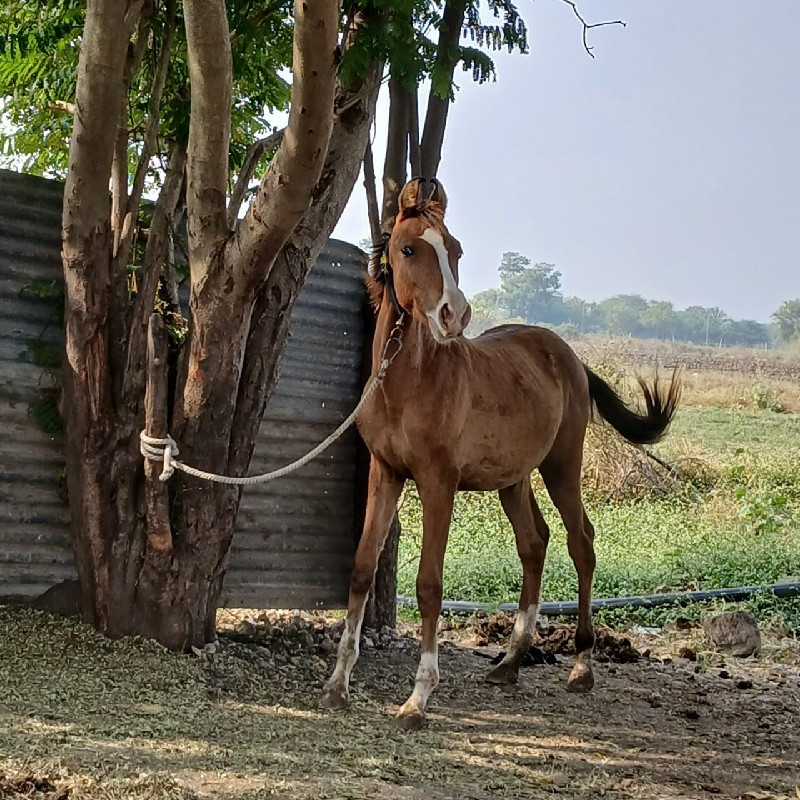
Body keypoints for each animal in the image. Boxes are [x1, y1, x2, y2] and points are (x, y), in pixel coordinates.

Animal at [320, 178, 680, 728]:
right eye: (409, 249)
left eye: (455, 249)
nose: (455, 315)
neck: (408, 383)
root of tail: (570, 357)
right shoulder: (387, 473)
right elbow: (361, 568)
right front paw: (338, 685)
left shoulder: (438, 482)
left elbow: (429, 584)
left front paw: (418, 698)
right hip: (514, 479)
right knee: (534, 543)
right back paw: (510, 661)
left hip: (561, 466)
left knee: (581, 542)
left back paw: (581, 666)